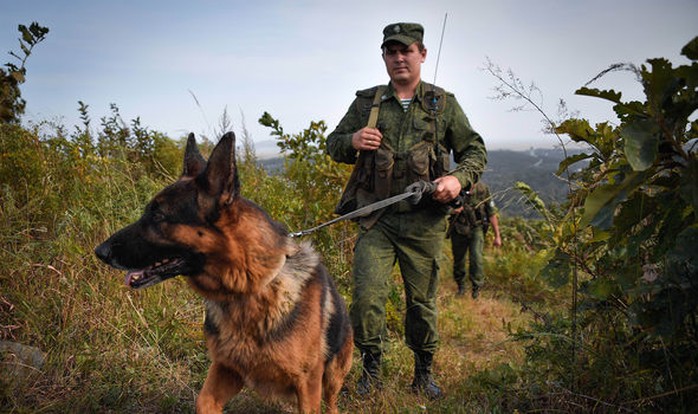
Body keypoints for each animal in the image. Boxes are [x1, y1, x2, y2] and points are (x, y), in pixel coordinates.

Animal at [95, 133, 350, 414]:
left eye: (159, 215)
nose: (100, 251)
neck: (248, 289)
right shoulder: (226, 369)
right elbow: (204, 401)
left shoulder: (307, 384)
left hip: (333, 376)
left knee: (332, 402)